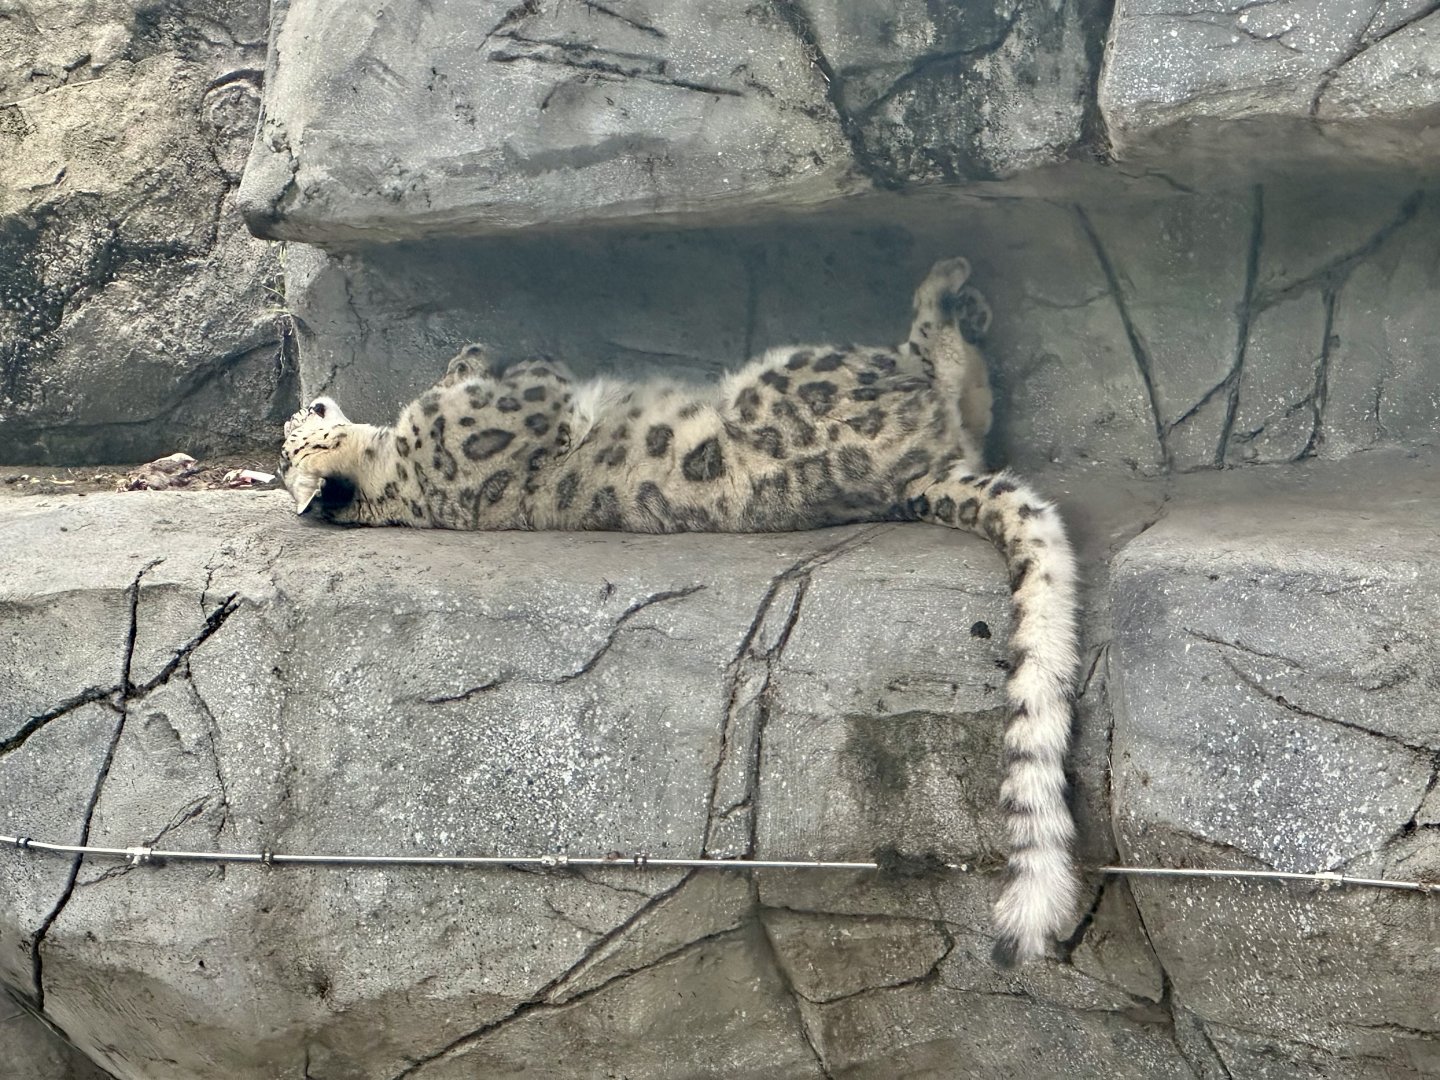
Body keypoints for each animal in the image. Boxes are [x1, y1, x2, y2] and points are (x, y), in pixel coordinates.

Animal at [279, 257, 1080, 967]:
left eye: (297, 424)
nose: (310, 397)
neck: (393, 469)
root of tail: (917, 477)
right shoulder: (513, 410)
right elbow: (529, 379)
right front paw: (485, 357)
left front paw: (464, 354)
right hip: (814, 372)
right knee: (928, 360)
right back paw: (949, 286)